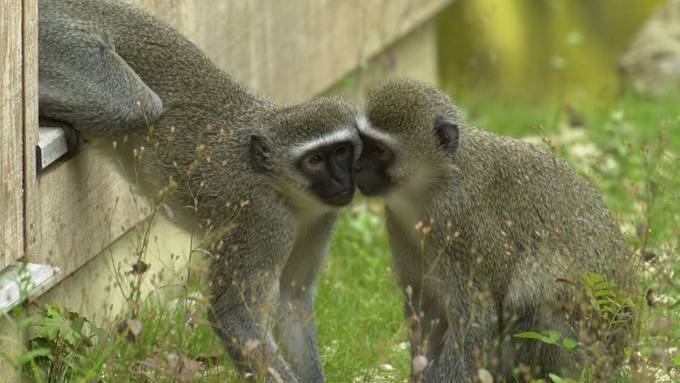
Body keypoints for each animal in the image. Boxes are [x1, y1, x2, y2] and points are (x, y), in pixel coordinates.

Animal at [38, 1, 362, 382]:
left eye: (342, 152)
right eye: (315, 161)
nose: (342, 181)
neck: (286, 190)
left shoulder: (322, 215)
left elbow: (292, 300)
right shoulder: (264, 218)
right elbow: (235, 317)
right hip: (60, 37)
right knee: (132, 104)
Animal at [354, 79, 628, 382]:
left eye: (379, 151)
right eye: (362, 143)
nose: (357, 167)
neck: (433, 185)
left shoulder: (460, 224)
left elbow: (477, 318)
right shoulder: (398, 222)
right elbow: (426, 308)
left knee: (533, 289)